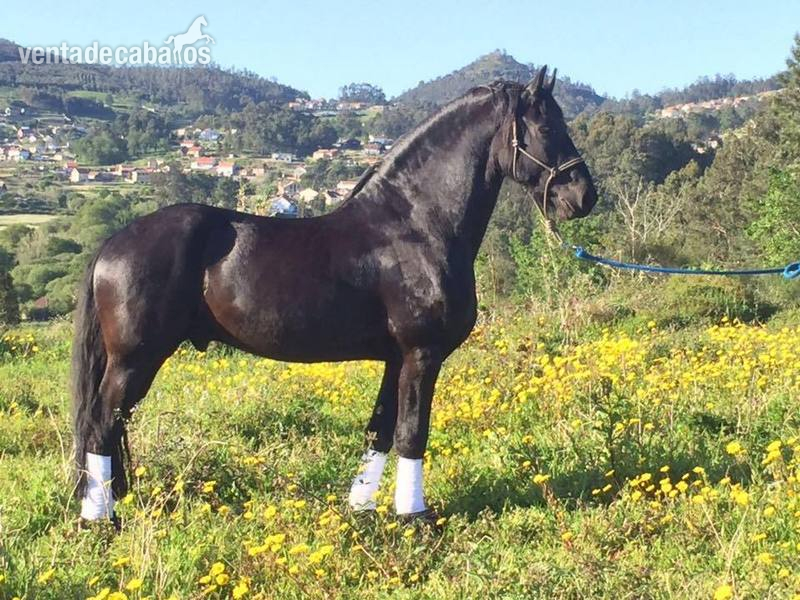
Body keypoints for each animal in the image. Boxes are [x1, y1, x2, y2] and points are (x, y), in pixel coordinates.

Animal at [73, 66, 598, 524]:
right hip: (135, 358)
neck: (415, 224)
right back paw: (99, 520)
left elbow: (380, 431)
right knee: (101, 424)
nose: (584, 196)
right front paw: (416, 517)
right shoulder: (422, 353)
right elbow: (412, 433)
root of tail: (114, 242)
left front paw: (362, 508)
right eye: (546, 126)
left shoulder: (396, 358)